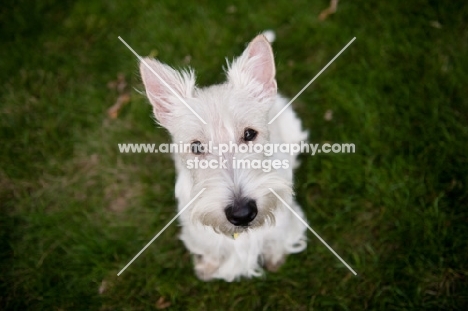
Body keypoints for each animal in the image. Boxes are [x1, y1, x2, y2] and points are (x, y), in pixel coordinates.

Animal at [139, 34, 308, 282]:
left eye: (249, 134)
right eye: (196, 147)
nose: (242, 213)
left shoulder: (286, 223)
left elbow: (277, 241)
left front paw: (275, 259)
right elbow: (211, 251)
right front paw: (208, 268)